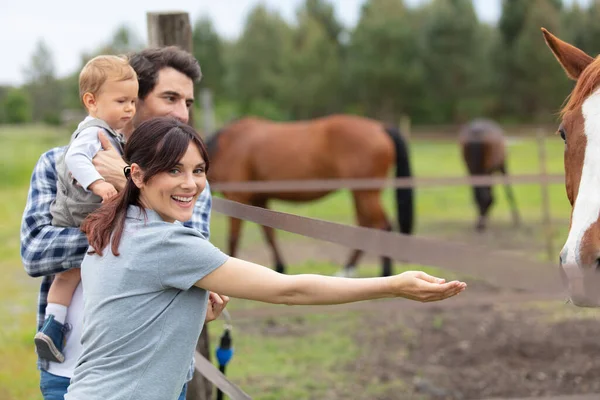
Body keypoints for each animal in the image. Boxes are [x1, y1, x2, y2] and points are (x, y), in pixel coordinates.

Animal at [205, 112, 412, 276]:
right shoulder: (259, 200)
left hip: (366, 193)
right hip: (360, 194)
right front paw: (280, 267)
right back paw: (347, 269)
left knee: (383, 226)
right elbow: (270, 234)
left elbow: (233, 238)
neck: (228, 145)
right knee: (366, 225)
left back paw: (384, 272)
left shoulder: (237, 197)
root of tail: (380, 127)